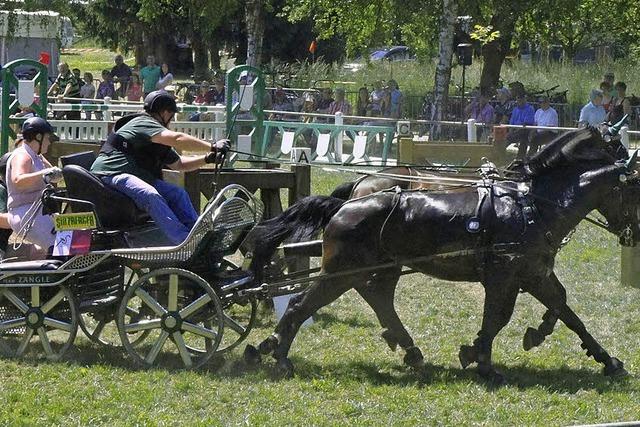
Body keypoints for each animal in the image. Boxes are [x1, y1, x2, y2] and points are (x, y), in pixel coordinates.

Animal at [246, 127, 640, 384]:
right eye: (634, 187)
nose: (633, 234)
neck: (532, 205)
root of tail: (346, 204)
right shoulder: (504, 276)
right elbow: (498, 317)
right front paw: (483, 361)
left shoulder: (533, 273)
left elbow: (566, 310)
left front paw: (606, 359)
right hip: (341, 273)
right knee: (300, 305)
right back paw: (277, 355)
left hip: (378, 269)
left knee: (378, 299)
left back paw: (409, 350)